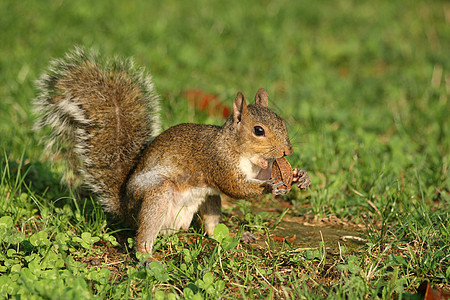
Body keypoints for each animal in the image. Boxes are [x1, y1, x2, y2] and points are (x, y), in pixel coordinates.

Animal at [33, 47, 312, 255]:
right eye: (258, 130)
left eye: (282, 121)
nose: (287, 151)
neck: (241, 151)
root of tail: (125, 209)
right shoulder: (217, 160)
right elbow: (236, 187)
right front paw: (270, 186)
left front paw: (300, 176)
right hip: (155, 194)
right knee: (144, 234)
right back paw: (146, 256)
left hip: (208, 199)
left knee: (211, 229)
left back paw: (236, 236)